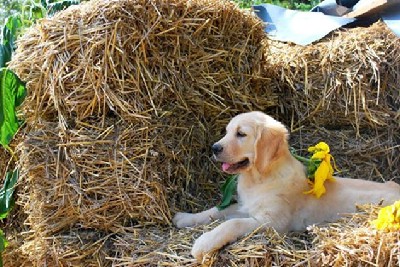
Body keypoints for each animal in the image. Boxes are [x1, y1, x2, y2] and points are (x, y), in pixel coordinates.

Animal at [173, 111, 400, 262]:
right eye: (227, 131)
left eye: (241, 134)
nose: (214, 148)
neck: (260, 178)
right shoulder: (246, 206)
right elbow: (217, 211)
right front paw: (185, 218)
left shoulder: (272, 223)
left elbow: (232, 223)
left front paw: (204, 242)